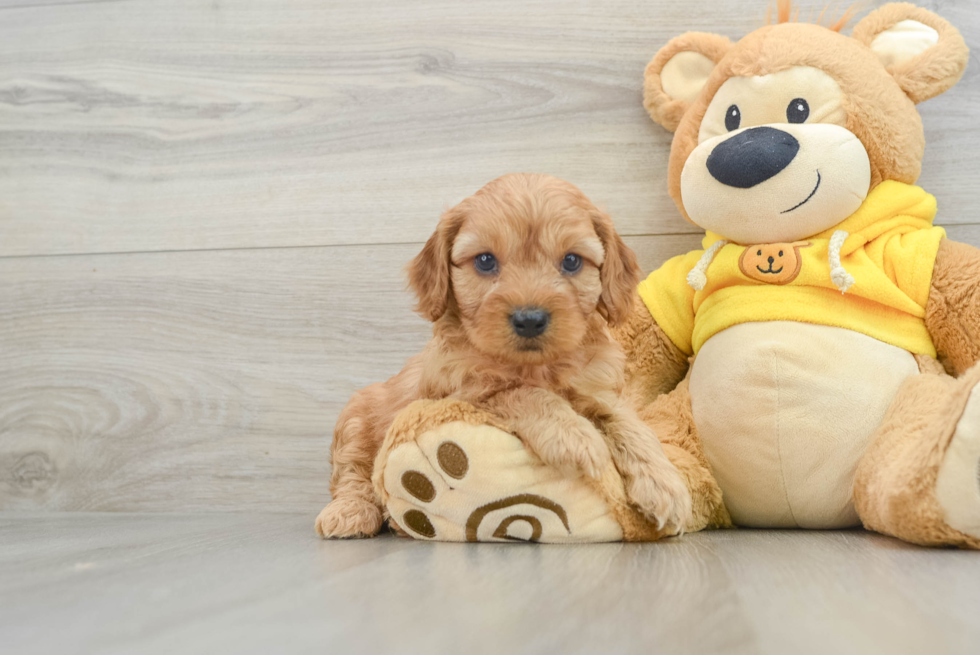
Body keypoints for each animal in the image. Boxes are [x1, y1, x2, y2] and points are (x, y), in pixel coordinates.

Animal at [318, 173, 692, 540]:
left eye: (571, 261)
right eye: (485, 260)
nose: (530, 319)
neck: (535, 367)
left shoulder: (598, 390)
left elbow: (629, 424)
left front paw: (665, 485)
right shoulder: (461, 391)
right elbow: (519, 392)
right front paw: (573, 436)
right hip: (355, 417)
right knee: (351, 473)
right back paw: (350, 514)